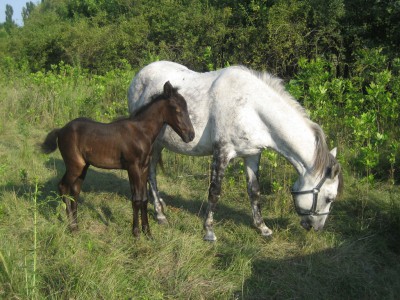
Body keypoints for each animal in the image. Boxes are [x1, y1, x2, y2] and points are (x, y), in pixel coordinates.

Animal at [41, 81, 195, 238]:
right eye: (177, 109)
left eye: (186, 107)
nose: (190, 135)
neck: (141, 132)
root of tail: (60, 130)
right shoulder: (133, 167)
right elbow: (137, 199)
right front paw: (136, 232)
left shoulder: (143, 168)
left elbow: (144, 199)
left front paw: (147, 232)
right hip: (74, 166)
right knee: (63, 187)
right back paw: (71, 226)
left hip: (83, 166)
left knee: (75, 191)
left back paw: (76, 226)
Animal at [129, 61, 344, 241]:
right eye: (329, 198)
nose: (316, 228)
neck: (251, 107)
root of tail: (139, 74)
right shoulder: (222, 153)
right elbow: (214, 191)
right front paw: (209, 231)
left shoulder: (252, 155)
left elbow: (254, 191)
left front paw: (262, 227)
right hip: (154, 144)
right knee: (151, 174)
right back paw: (160, 214)